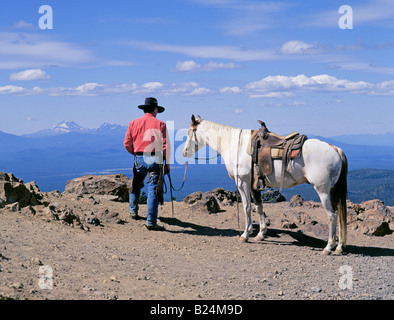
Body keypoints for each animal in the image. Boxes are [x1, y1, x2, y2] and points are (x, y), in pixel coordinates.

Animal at [182, 115, 348, 255]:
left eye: (191, 132)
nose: (184, 152)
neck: (236, 145)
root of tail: (336, 149)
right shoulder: (254, 184)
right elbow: (259, 207)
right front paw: (260, 234)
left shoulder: (242, 182)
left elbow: (247, 207)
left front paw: (245, 234)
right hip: (333, 190)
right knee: (340, 215)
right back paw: (339, 247)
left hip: (323, 190)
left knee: (332, 215)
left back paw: (328, 247)